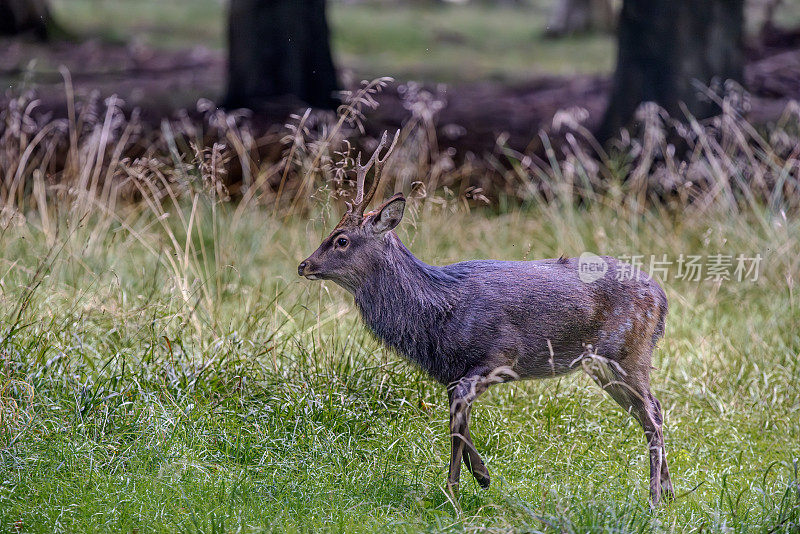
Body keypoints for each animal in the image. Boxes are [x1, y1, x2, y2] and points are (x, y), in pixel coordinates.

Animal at [296, 132, 672, 508]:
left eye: (341, 240)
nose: (304, 265)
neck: (437, 315)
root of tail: (661, 297)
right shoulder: (452, 374)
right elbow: (458, 419)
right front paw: (480, 475)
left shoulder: (499, 356)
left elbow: (457, 417)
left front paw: (454, 489)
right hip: (601, 364)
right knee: (650, 410)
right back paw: (668, 491)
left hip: (629, 351)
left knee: (652, 413)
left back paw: (654, 497)